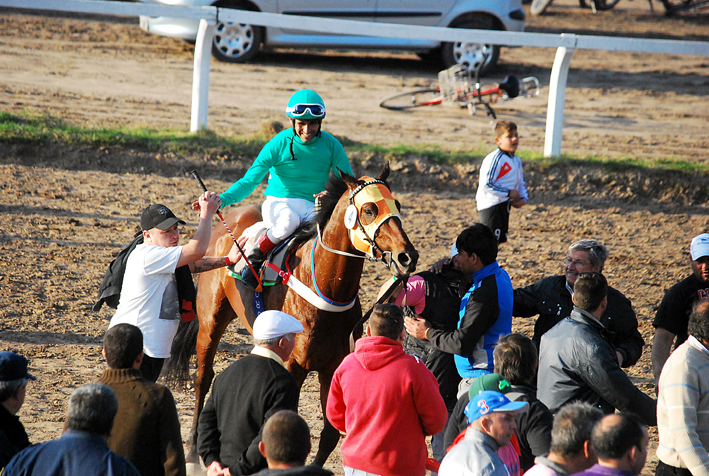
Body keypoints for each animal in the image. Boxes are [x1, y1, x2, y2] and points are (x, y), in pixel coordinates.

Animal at [168, 164, 418, 464]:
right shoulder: (293, 366)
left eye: (398, 205)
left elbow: (329, 435)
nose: (408, 256)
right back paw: (194, 450)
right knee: (203, 378)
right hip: (210, 321)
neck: (325, 288)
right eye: (370, 209)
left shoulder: (331, 367)